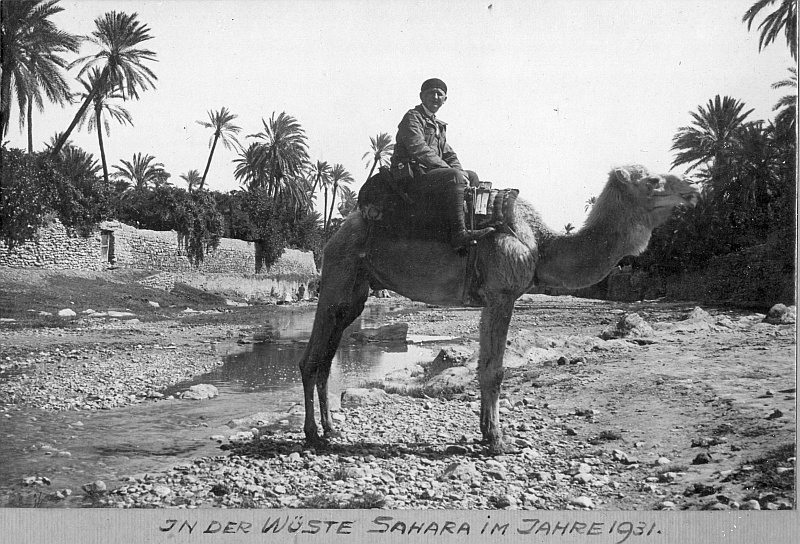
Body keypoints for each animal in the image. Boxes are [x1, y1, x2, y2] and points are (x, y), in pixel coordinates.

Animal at [296, 164, 696, 452]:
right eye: (653, 180)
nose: (692, 189)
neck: (540, 244)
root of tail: (339, 231)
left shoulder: (493, 298)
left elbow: (487, 367)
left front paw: (487, 434)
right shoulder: (502, 294)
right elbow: (495, 370)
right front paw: (499, 441)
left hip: (355, 291)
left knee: (325, 357)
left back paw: (330, 430)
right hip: (339, 273)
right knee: (311, 359)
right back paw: (313, 434)